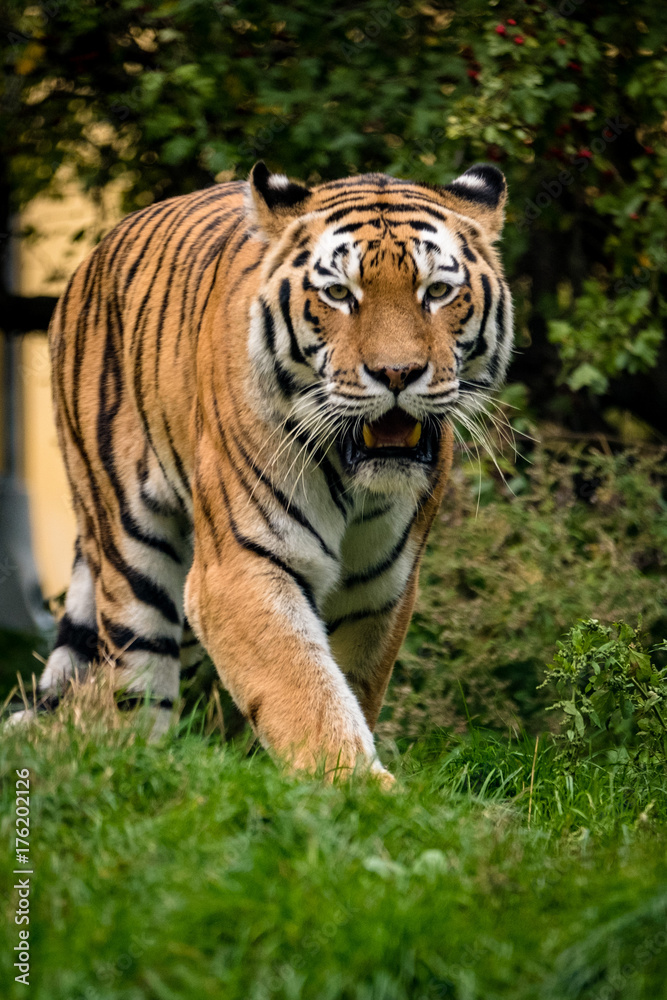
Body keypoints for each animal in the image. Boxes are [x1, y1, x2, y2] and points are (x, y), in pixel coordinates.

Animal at [32, 160, 512, 784]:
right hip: (133, 553)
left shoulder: (379, 587)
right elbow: (303, 688)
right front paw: (364, 789)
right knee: (129, 691)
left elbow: (345, 686)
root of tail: (93, 257)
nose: (397, 373)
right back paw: (142, 774)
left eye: (436, 292)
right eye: (339, 294)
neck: (358, 485)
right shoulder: (238, 567)